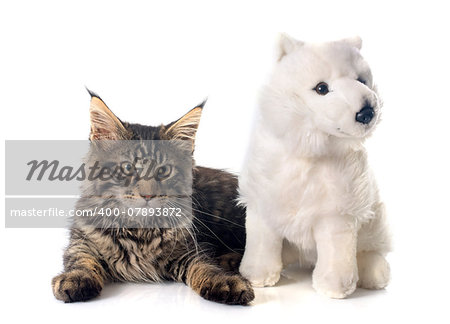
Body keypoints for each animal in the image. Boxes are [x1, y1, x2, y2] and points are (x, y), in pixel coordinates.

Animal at [51, 92, 255, 306]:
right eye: (128, 167)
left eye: (164, 170)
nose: (148, 195)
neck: (138, 232)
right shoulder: (81, 240)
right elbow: (80, 260)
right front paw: (76, 279)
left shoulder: (190, 249)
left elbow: (206, 266)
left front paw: (226, 281)